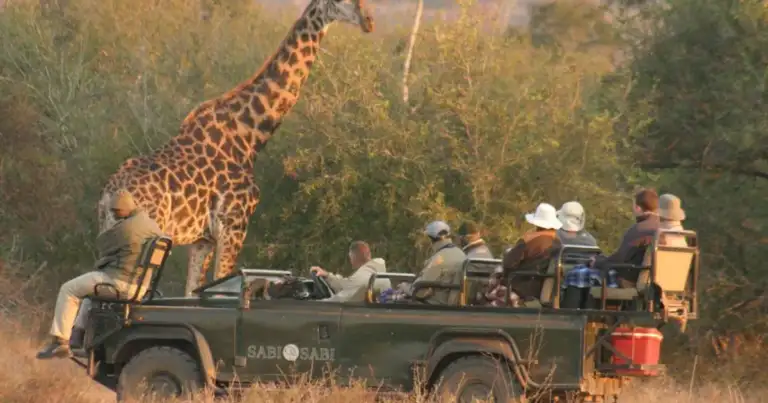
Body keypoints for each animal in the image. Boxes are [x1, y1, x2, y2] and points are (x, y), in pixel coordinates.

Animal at [98, 0, 375, 295]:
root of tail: (110, 193)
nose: (369, 21)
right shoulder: (234, 227)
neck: (249, 136)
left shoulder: (203, 239)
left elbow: (192, 291)